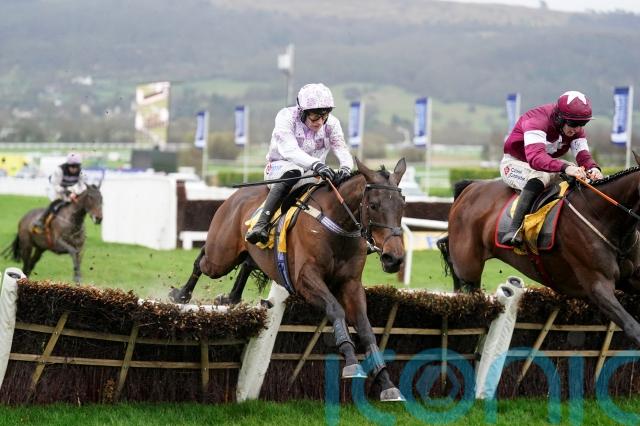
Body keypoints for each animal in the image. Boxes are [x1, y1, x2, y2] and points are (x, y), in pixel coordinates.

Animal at [170, 157, 407, 401]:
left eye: (402, 205)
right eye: (373, 205)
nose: (394, 258)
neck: (337, 226)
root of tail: (235, 196)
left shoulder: (351, 284)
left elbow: (366, 328)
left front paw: (387, 383)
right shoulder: (305, 279)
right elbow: (336, 310)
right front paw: (351, 362)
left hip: (247, 254)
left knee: (246, 263)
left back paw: (230, 298)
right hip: (220, 257)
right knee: (202, 259)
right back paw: (182, 294)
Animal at [438, 153, 640, 347]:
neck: (603, 218)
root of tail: (471, 187)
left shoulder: (631, 278)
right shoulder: (597, 285)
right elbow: (633, 328)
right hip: (468, 270)